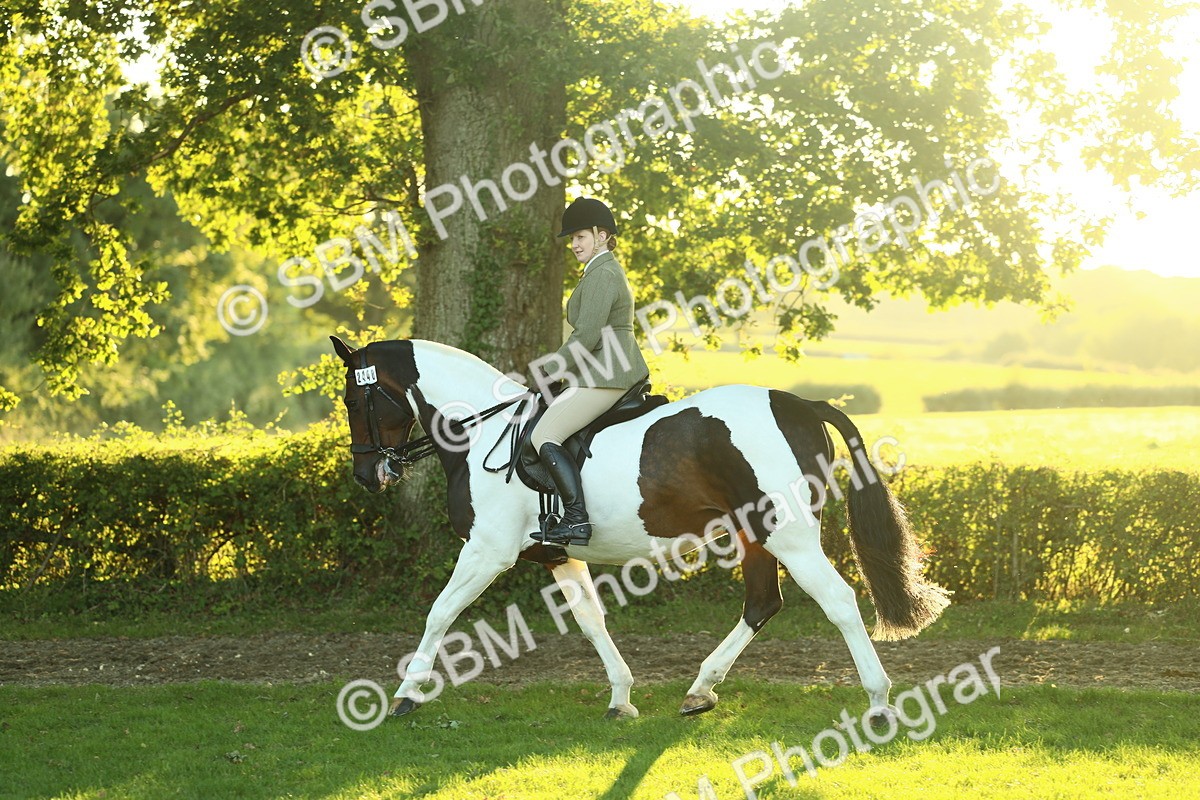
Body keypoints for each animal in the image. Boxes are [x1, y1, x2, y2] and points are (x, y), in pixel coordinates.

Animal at [331, 335, 949, 721]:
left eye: (354, 399)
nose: (367, 475)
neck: (482, 431)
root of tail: (797, 402)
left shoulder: (486, 551)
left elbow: (439, 612)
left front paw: (405, 695)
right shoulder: (558, 555)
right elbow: (590, 621)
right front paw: (622, 698)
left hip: (789, 533)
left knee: (839, 601)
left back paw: (878, 701)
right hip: (755, 534)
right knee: (761, 603)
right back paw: (700, 690)